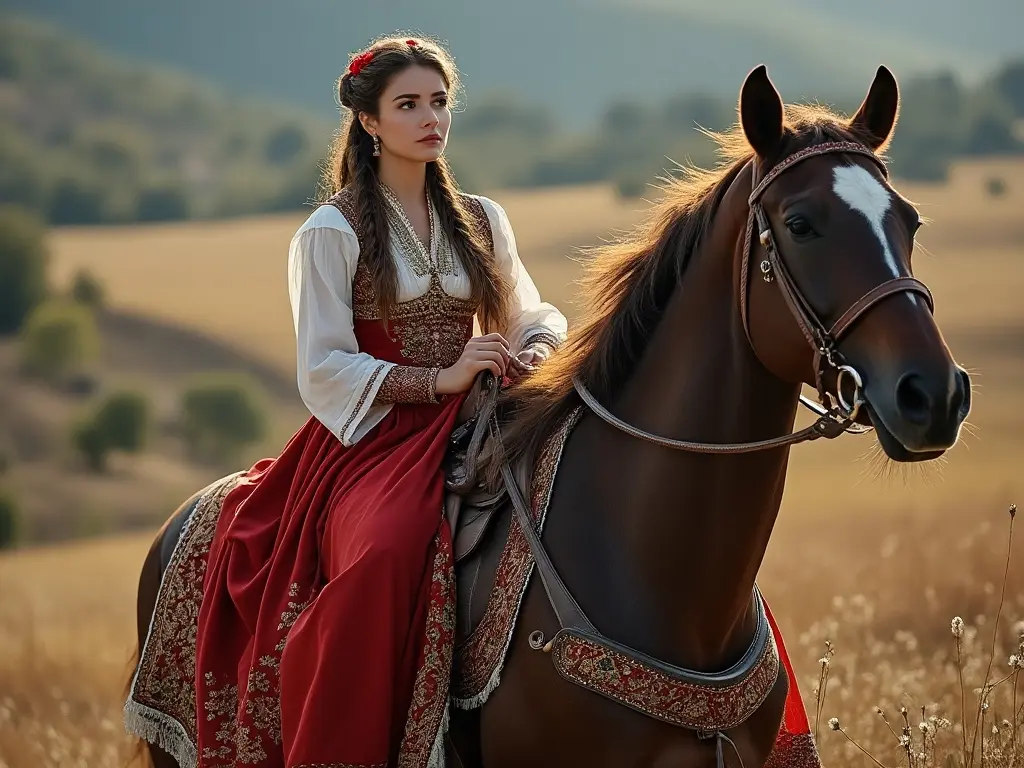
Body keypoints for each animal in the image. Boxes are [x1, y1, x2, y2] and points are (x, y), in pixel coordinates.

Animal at [125, 63, 966, 765]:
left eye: (910, 220)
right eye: (800, 224)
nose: (933, 395)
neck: (653, 570)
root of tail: (184, 516)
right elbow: (332, 359)